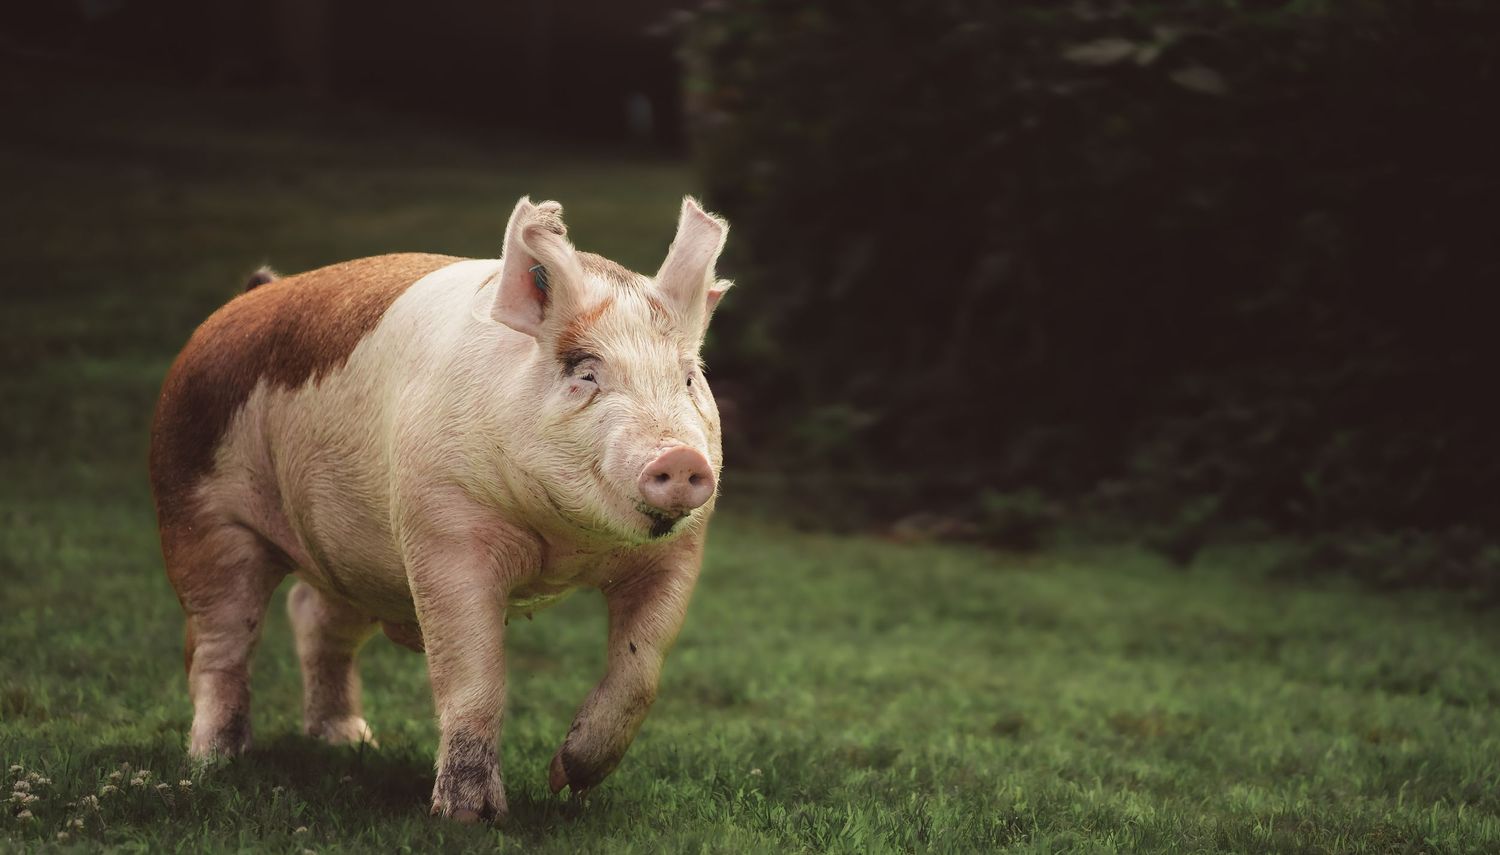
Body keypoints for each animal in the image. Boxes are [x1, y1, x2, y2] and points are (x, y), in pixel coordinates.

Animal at [148, 197, 733, 822]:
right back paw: (216, 762)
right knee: (220, 643)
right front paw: (472, 818)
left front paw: (565, 779)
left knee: (314, 618)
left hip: (357, 555)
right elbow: (476, 676)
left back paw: (349, 739)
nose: (680, 457)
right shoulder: (442, 530)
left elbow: (640, 671)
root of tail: (249, 297)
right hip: (197, 507)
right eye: (585, 373)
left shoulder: (679, 554)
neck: (566, 546)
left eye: (688, 378)